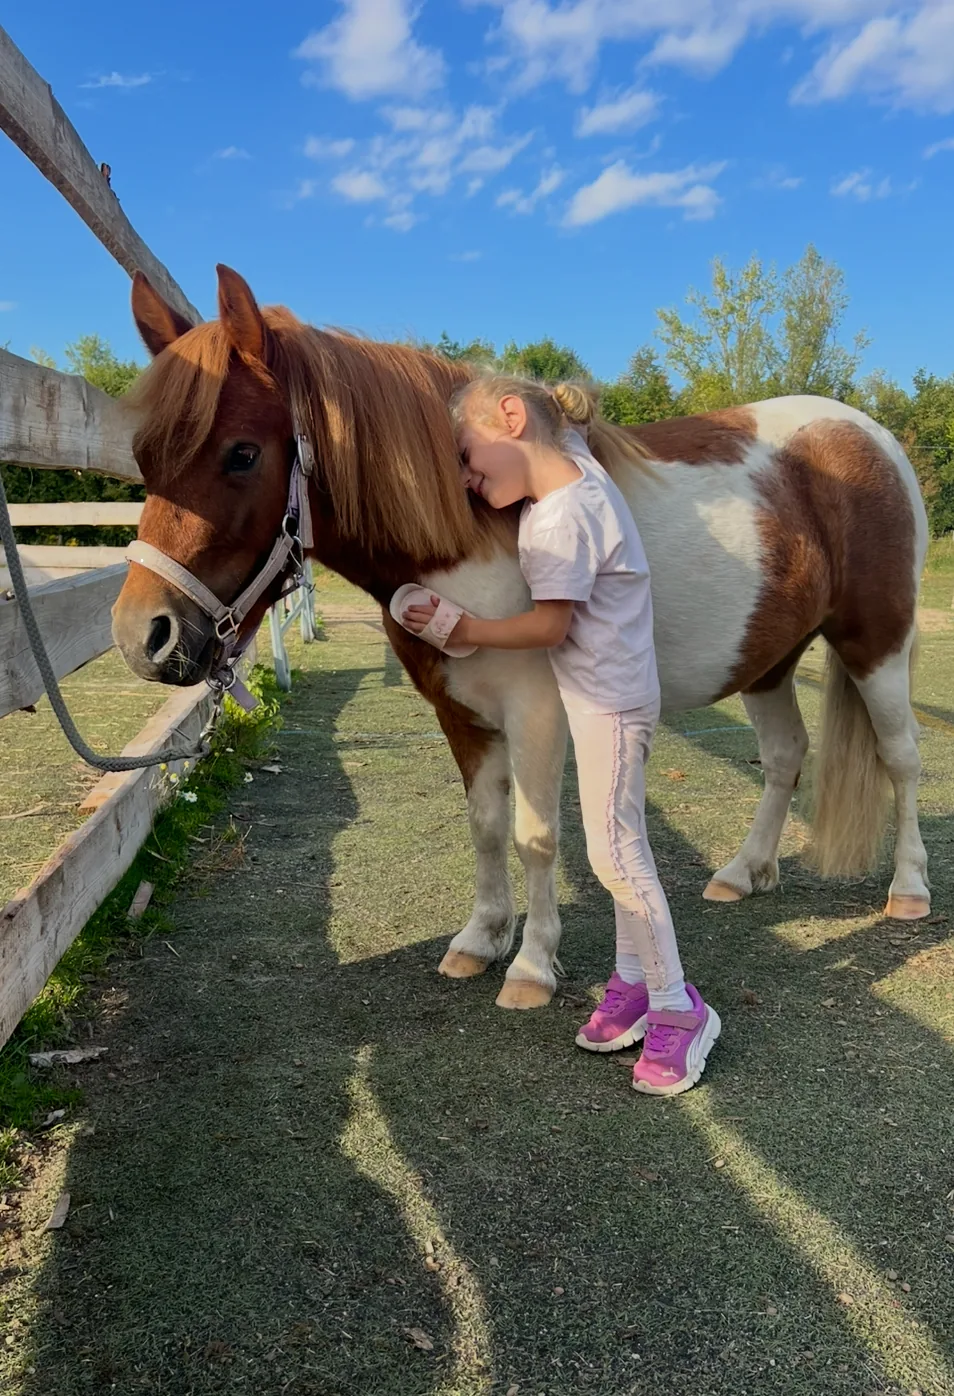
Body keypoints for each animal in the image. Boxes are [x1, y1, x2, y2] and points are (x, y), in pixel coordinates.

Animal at [111, 265, 930, 1011]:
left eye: (242, 453)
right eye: (145, 458)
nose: (142, 638)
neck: (473, 535)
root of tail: (868, 435)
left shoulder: (537, 714)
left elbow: (537, 834)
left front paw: (533, 966)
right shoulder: (462, 714)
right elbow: (486, 826)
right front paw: (481, 939)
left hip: (876, 647)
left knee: (901, 758)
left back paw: (909, 889)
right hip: (768, 661)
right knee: (786, 756)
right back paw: (743, 872)